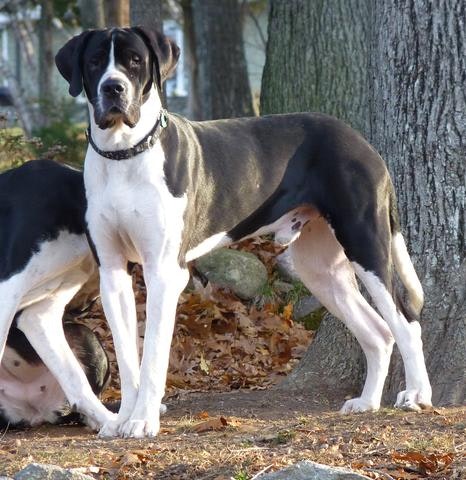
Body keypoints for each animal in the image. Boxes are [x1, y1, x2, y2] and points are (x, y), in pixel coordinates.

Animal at [56, 27, 436, 438]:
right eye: (95, 61)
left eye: (135, 61)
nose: (114, 87)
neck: (126, 153)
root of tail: (363, 143)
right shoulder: (112, 274)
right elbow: (127, 356)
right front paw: (123, 418)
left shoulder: (164, 272)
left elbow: (154, 354)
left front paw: (143, 420)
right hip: (320, 269)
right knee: (379, 333)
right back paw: (366, 402)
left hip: (365, 243)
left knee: (405, 320)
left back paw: (417, 394)